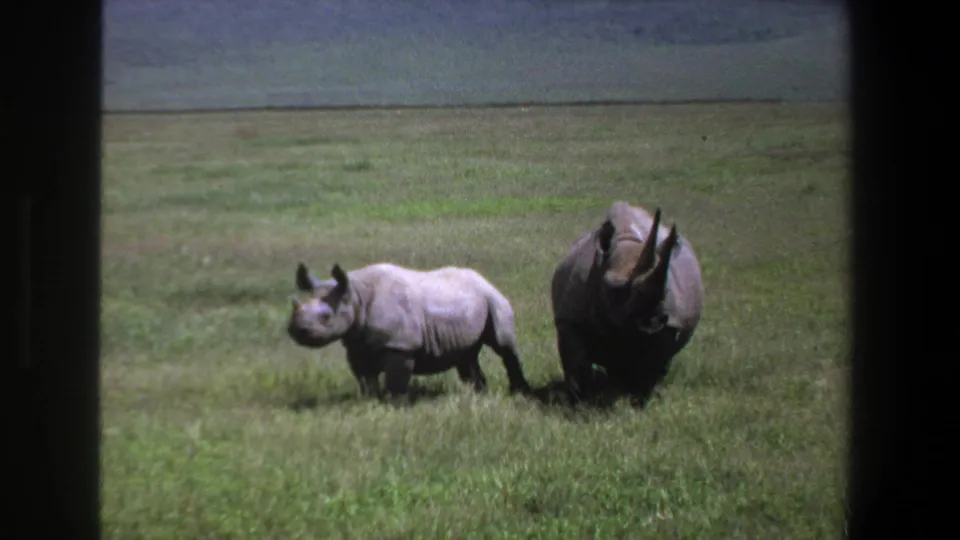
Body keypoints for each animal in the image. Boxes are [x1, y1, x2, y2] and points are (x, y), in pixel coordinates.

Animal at [287, 261, 533, 404]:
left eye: (326, 317)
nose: (297, 330)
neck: (355, 295)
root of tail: (484, 279)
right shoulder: (356, 343)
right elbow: (365, 378)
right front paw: (370, 402)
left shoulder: (400, 344)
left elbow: (396, 380)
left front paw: (394, 406)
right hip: (467, 304)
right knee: (466, 354)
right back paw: (478, 395)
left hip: (494, 299)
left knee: (503, 346)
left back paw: (519, 393)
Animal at [550, 201, 704, 407]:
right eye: (616, 291)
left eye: (666, 291)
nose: (653, 322)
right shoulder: (571, 318)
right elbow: (577, 363)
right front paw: (580, 403)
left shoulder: (670, 325)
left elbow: (652, 364)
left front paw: (638, 401)